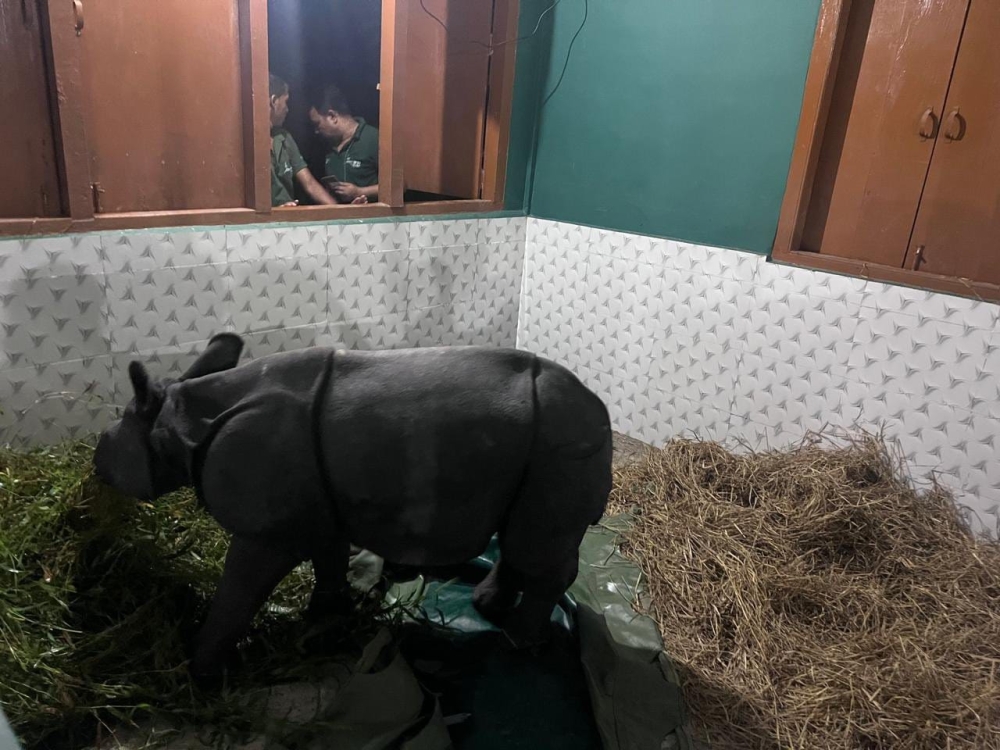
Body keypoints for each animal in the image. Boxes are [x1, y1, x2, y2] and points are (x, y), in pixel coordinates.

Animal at [93, 333, 612, 679]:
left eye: (111, 441)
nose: (96, 461)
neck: (180, 419)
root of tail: (598, 405)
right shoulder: (322, 510)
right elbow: (328, 562)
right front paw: (323, 622)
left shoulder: (266, 532)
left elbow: (237, 593)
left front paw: (197, 667)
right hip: (545, 445)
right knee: (520, 537)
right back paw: (488, 607)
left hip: (558, 442)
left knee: (537, 548)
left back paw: (518, 644)